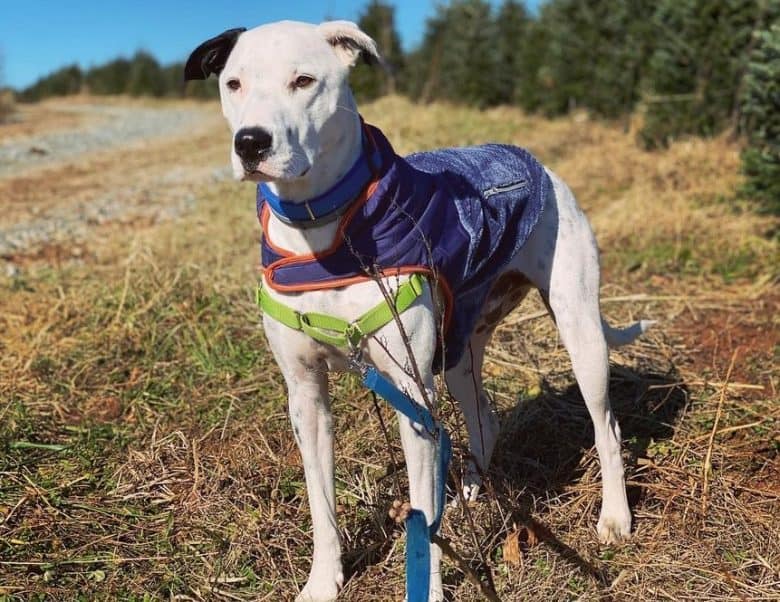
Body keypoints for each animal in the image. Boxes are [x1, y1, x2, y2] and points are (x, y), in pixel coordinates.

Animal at [186, 19, 648, 600]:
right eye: (234, 84)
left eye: (303, 80)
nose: (250, 141)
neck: (326, 232)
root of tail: (534, 160)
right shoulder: (306, 397)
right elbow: (321, 503)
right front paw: (323, 580)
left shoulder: (410, 394)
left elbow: (422, 514)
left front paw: (426, 584)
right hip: (458, 353)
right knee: (483, 417)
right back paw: (471, 487)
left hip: (579, 332)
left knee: (606, 427)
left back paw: (615, 517)